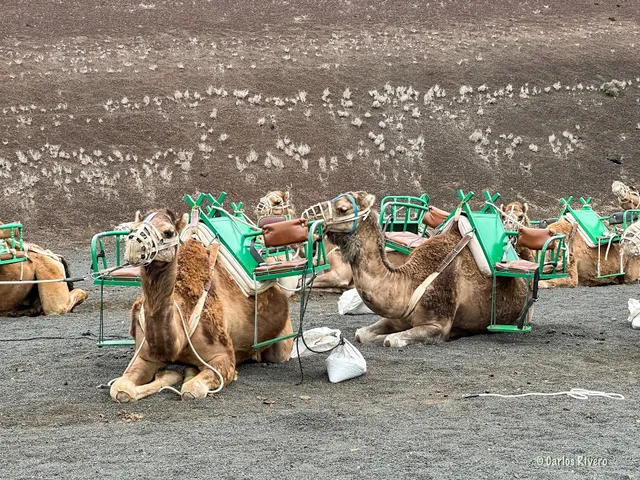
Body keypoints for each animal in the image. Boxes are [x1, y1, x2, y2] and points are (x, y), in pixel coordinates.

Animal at [109, 208, 293, 402]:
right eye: (131, 229)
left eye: (169, 232)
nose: (133, 245)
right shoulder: (144, 357)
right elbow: (120, 389)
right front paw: (170, 374)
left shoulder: (223, 357)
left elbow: (192, 389)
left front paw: (185, 374)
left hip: (282, 338)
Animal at [301, 192, 529, 347]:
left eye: (342, 208)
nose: (307, 218)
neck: (410, 282)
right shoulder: (395, 317)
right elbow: (361, 334)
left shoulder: (436, 325)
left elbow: (391, 340)